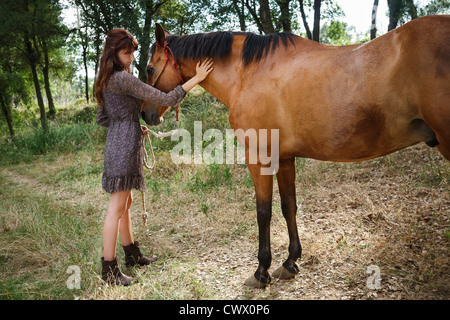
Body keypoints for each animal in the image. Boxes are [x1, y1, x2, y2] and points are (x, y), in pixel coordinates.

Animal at [141, 15, 450, 290]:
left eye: (148, 69)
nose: (145, 114)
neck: (249, 73)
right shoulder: (285, 158)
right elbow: (289, 206)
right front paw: (290, 262)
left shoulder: (259, 158)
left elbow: (263, 211)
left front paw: (261, 271)